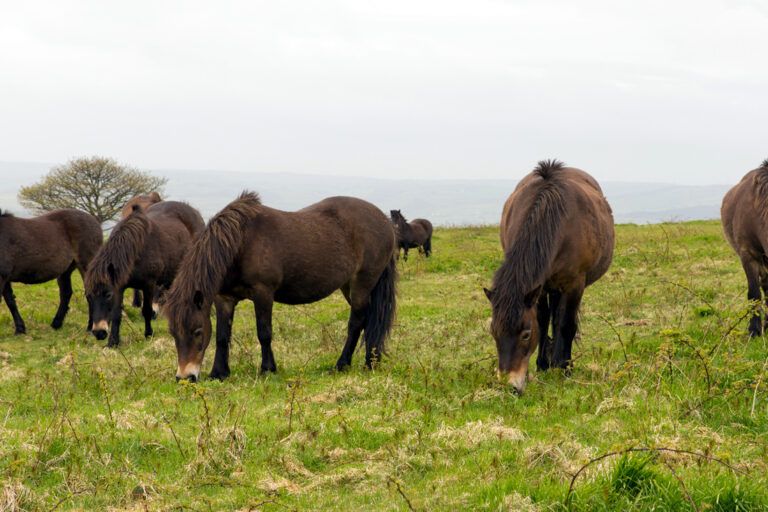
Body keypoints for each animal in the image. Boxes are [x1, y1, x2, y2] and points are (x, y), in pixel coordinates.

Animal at [85, 201, 204, 347]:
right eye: (89, 296)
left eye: (107, 295)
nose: (99, 332)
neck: (136, 251)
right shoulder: (119, 287)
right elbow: (116, 314)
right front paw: (113, 342)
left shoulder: (149, 285)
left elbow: (146, 310)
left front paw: (148, 334)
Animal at [164, 191, 397, 382]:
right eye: (173, 334)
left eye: (197, 331)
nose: (185, 377)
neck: (241, 242)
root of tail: (384, 220)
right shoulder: (225, 299)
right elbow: (222, 336)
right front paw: (219, 373)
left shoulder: (263, 293)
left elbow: (264, 333)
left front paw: (268, 369)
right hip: (349, 286)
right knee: (368, 320)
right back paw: (370, 362)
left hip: (362, 284)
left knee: (356, 323)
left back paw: (344, 364)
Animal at [484, 160, 614, 394]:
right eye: (493, 332)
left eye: (526, 334)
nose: (509, 386)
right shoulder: (540, 287)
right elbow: (543, 322)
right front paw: (543, 364)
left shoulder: (574, 285)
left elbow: (566, 324)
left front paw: (564, 367)